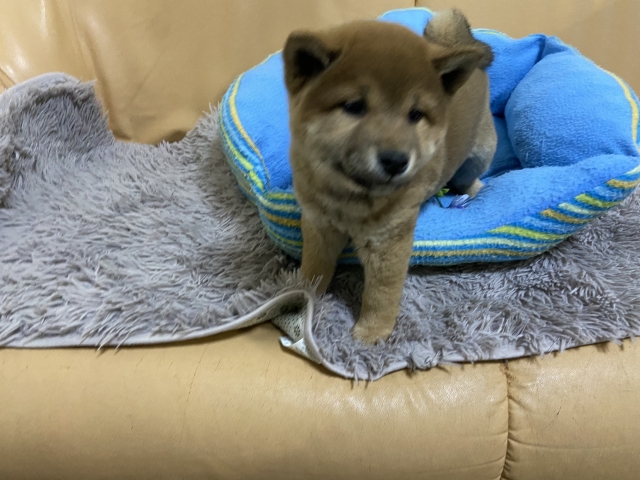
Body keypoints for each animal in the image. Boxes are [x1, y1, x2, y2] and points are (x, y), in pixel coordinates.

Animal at [283, 9, 497, 344]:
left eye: (415, 115)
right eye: (354, 107)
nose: (396, 160)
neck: (348, 196)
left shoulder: (388, 242)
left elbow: (381, 293)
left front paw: (372, 333)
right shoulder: (319, 224)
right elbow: (314, 269)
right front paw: (302, 298)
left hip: (481, 151)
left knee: (470, 177)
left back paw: (471, 190)